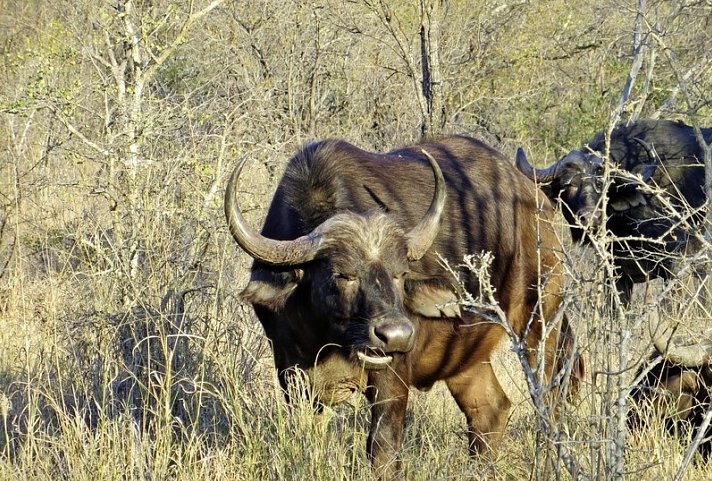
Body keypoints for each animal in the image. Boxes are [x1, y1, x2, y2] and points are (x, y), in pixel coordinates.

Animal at [224, 134, 584, 476]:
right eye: (342, 274)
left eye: (400, 274)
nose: (396, 335)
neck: (333, 340)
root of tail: (537, 203)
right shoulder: (292, 377)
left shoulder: (391, 381)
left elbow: (382, 448)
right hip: (466, 355)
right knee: (490, 408)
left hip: (541, 323)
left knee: (551, 401)